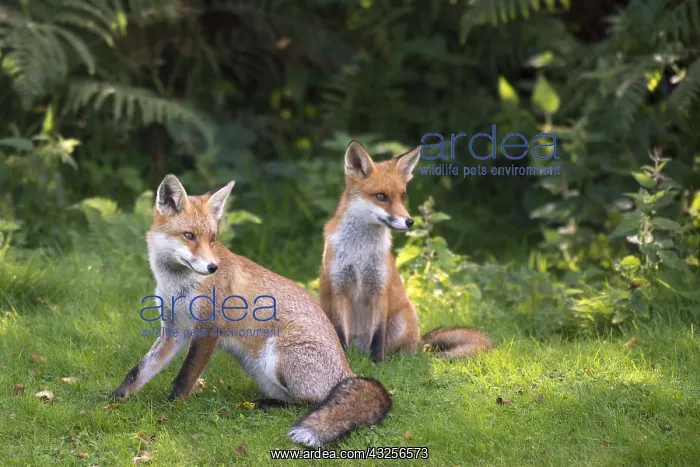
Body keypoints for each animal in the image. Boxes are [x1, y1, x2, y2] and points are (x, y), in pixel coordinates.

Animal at [109, 174, 391, 448]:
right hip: (259, 369)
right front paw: (114, 399)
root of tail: (347, 371)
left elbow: (184, 378)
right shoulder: (173, 330)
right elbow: (138, 372)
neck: (178, 285)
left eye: (212, 239)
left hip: (276, 355)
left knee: (310, 402)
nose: (212, 267)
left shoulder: (208, 330)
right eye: (189, 235)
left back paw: (267, 406)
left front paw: (170, 410)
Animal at [319, 141, 492, 362]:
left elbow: (378, 334)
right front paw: (343, 358)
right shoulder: (339, 288)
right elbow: (341, 332)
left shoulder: (379, 288)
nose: (410, 221)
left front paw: (378, 363)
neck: (360, 253)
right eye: (381, 196)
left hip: (403, 318)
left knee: (401, 353)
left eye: (402, 196)